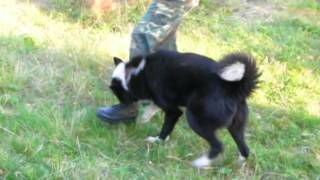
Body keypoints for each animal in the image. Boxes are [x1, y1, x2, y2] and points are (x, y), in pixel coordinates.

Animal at [110, 50, 260, 168]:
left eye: (117, 92)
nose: (122, 104)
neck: (138, 73)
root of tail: (234, 88)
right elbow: (153, 107)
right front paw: (145, 118)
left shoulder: (173, 111)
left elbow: (166, 127)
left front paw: (158, 140)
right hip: (236, 127)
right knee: (245, 149)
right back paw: (238, 164)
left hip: (196, 120)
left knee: (218, 146)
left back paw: (201, 162)